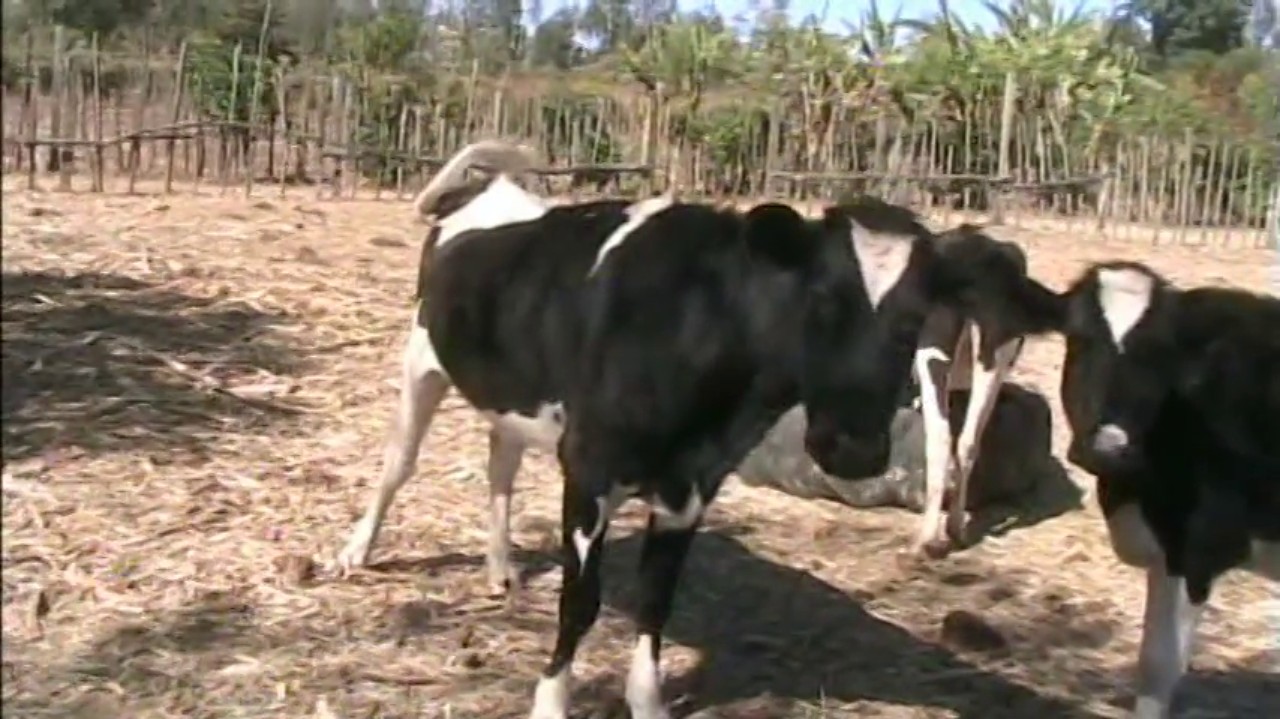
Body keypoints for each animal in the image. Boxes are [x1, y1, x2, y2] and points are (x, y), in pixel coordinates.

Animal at [908, 225, 1038, 558]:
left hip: (932, 354)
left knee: (941, 437)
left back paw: (928, 538)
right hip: (994, 360)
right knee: (968, 441)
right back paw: (955, 528)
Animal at [1056, 260, 1280, 719]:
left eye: (1159, 353)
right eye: (1079, 338)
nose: (1109, 446)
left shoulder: (1202, 548)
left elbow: (1163, 664)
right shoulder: (1164, 553)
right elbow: (1149, 662)